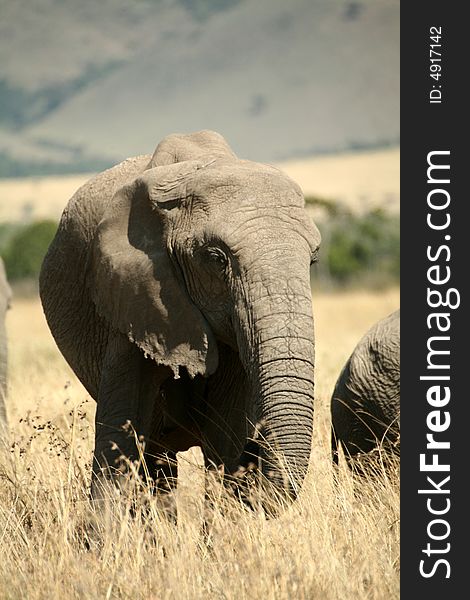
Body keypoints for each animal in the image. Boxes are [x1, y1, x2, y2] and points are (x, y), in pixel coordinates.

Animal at [40, 129, 322, 504]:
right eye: (216, 259)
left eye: (314, 260)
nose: (257, 450)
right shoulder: (134, 297)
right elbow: (122, 434)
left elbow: (226, 437)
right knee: (154, 454)